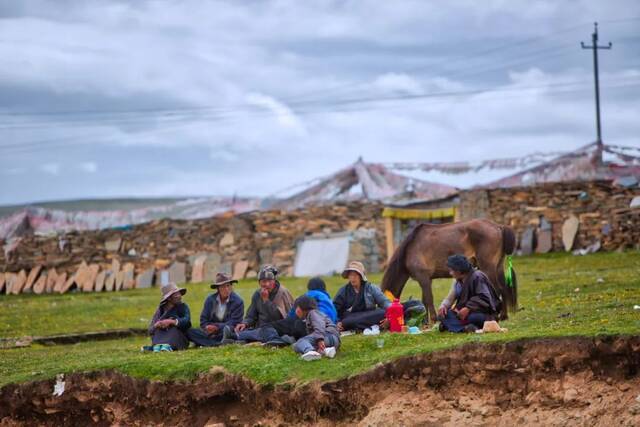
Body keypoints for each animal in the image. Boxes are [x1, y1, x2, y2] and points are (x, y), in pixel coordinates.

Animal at [382, 219, 516, 322]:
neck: (410, 248)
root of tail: (498, 226)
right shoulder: (426, 280)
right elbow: (424, 301)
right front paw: (425, 321)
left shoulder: (423, 278)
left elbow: (428, 299)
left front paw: (434, 320)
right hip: (498, 267)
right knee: (504, 288)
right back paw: (504, 316)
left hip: (487, 267)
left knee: (497, 289)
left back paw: (497, 316)